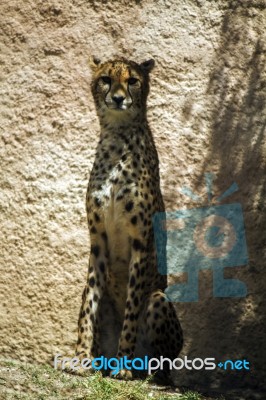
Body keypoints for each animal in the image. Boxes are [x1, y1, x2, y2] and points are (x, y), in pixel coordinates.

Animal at [75, 57, 183, 382]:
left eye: (133, 80)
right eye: (106, 80)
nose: (119, 98)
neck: (117, 137)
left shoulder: (141, 242)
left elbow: (132, 308)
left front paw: (123, 365)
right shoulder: (98, 240)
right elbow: (89, 306)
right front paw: (81, 357)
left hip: (159, 298)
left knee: (163, 364)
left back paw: (144, 372)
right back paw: (102, 362)